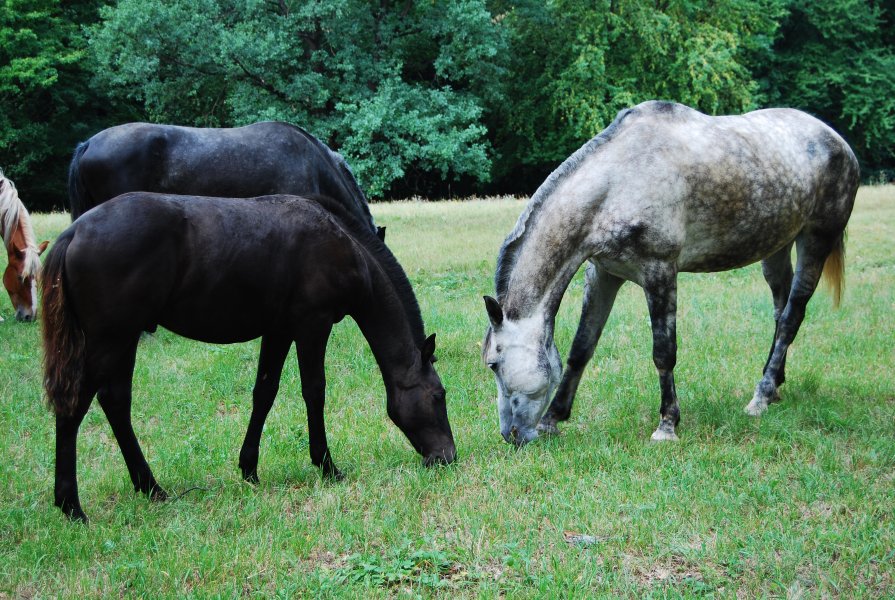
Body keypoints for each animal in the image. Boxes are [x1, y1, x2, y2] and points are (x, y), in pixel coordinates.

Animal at [42, 192, 456, 520]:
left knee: (115, 402)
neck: (342, 244)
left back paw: (150, 487)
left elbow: (265, 393)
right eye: (439, 395)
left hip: (124, 340)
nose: (447, 457)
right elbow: (314, 391)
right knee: (74, 407)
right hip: (110, 340)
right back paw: (71, 505)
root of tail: (74, 232)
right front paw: (326, 465)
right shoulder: (312, 324)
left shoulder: (279, 330)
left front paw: (249, 469)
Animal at [484, 99, 860, 446]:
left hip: (816, 240)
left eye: (493, 364)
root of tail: (839, 142)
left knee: (791, 317)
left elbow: (663, 352)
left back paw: (761, 397)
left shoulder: (660, 273)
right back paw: (775, 386)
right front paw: (553, 418)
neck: (617, 183)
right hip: (776, 246)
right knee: (780, 312)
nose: (510, 435)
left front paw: (667, 424)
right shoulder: (604, 274)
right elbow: (581, 348)